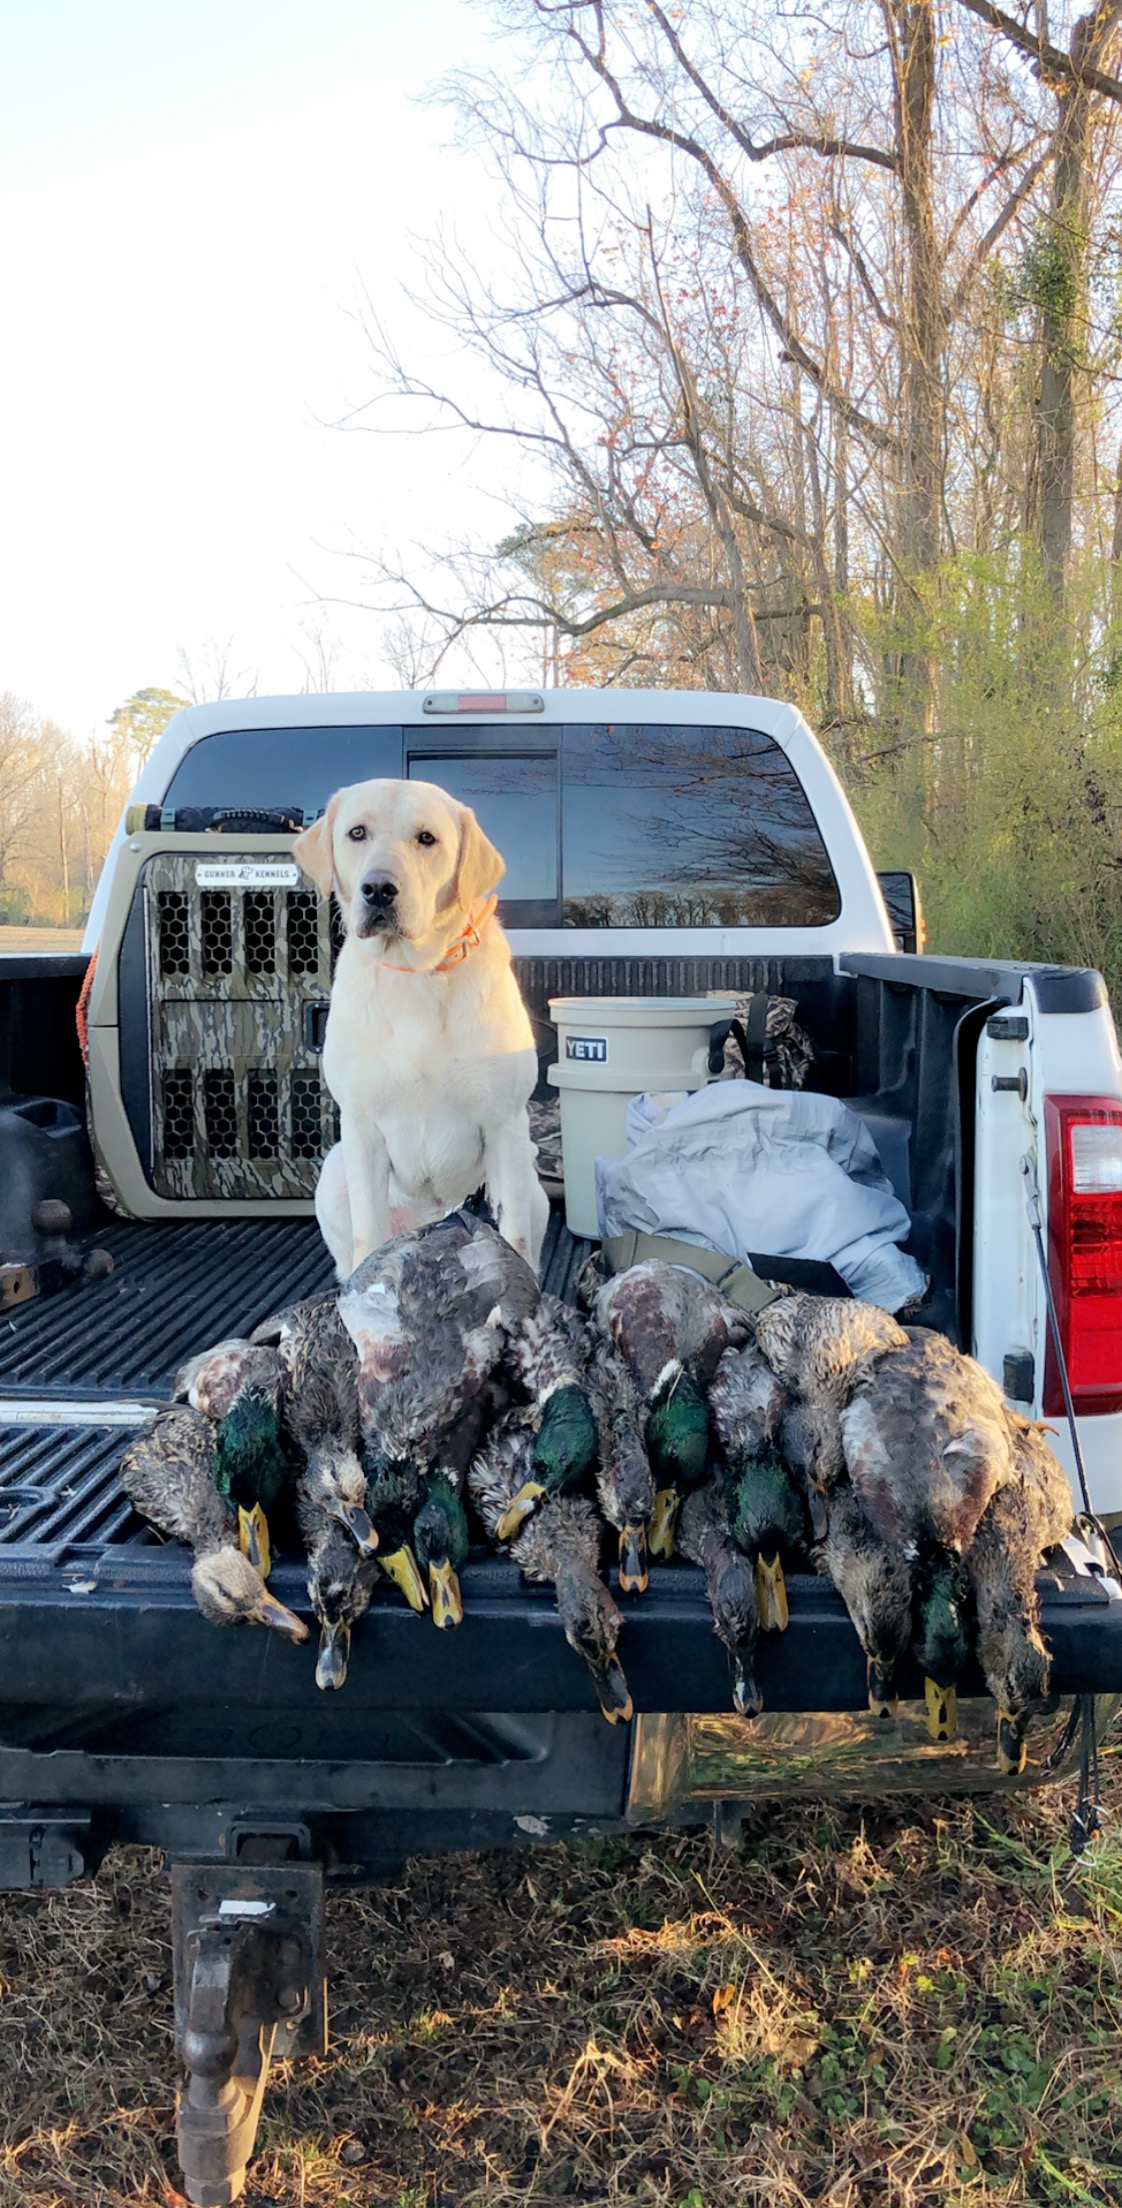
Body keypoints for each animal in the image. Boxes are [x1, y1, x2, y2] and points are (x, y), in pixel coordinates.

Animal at [291, 786, 549, 1289]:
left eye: (426, 838)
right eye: (357, 832)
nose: (378, 888)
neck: (414, 974)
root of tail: (430, 1223)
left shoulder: (505, 1122)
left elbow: (514, 1233)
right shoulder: (362, 1128)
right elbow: (367, 1231)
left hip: (532, 1183)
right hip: (334, 1175)